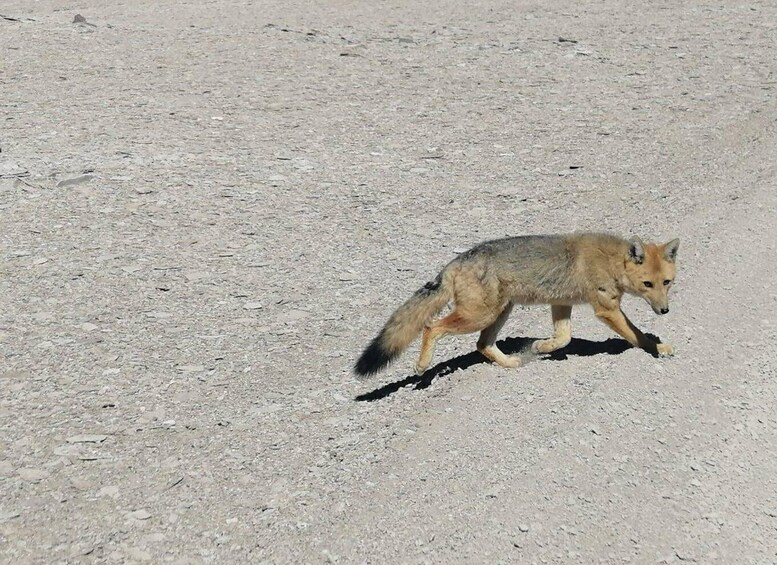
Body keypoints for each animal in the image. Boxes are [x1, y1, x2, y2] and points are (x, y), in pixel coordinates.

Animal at [354, 231, 680, 376]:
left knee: (482, 345)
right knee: (431, 326)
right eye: (648, 285)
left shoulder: (561, 304)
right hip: (480, 315)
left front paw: (542, 347)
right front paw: (658, 348)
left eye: (667, 282)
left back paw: (511, 362)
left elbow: (564, 337)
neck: (611, 260)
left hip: (499, 313)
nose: (665, 310)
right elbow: (636, 335)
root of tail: (457, 261)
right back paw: (422, 366)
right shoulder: (607, 309)